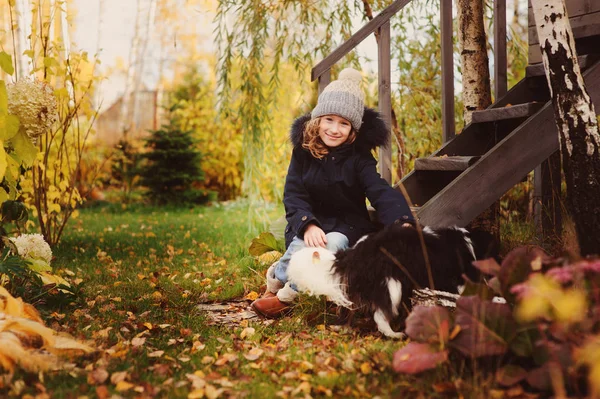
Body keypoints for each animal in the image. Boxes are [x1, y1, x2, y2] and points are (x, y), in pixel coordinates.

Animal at [288, 225, 496, 338]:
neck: (466, 243)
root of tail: (355, 253)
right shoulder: (453, 277)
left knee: (348, 309)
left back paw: (343, 327)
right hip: (391, 284)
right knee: (380, 316)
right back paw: (394, 334)